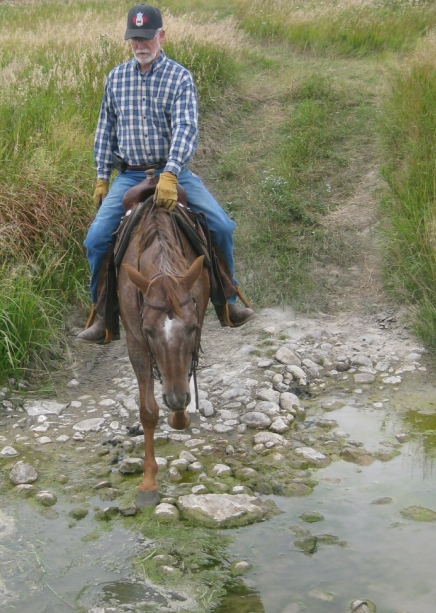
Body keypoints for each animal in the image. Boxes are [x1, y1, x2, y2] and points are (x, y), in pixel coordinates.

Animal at [117, 202, 209, 506]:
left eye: (191, 327)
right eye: (149, 330)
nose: (176, 398)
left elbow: (186, 377)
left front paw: (180, 415)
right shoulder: (136, 343)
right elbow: (148, 412)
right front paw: (148, 483)